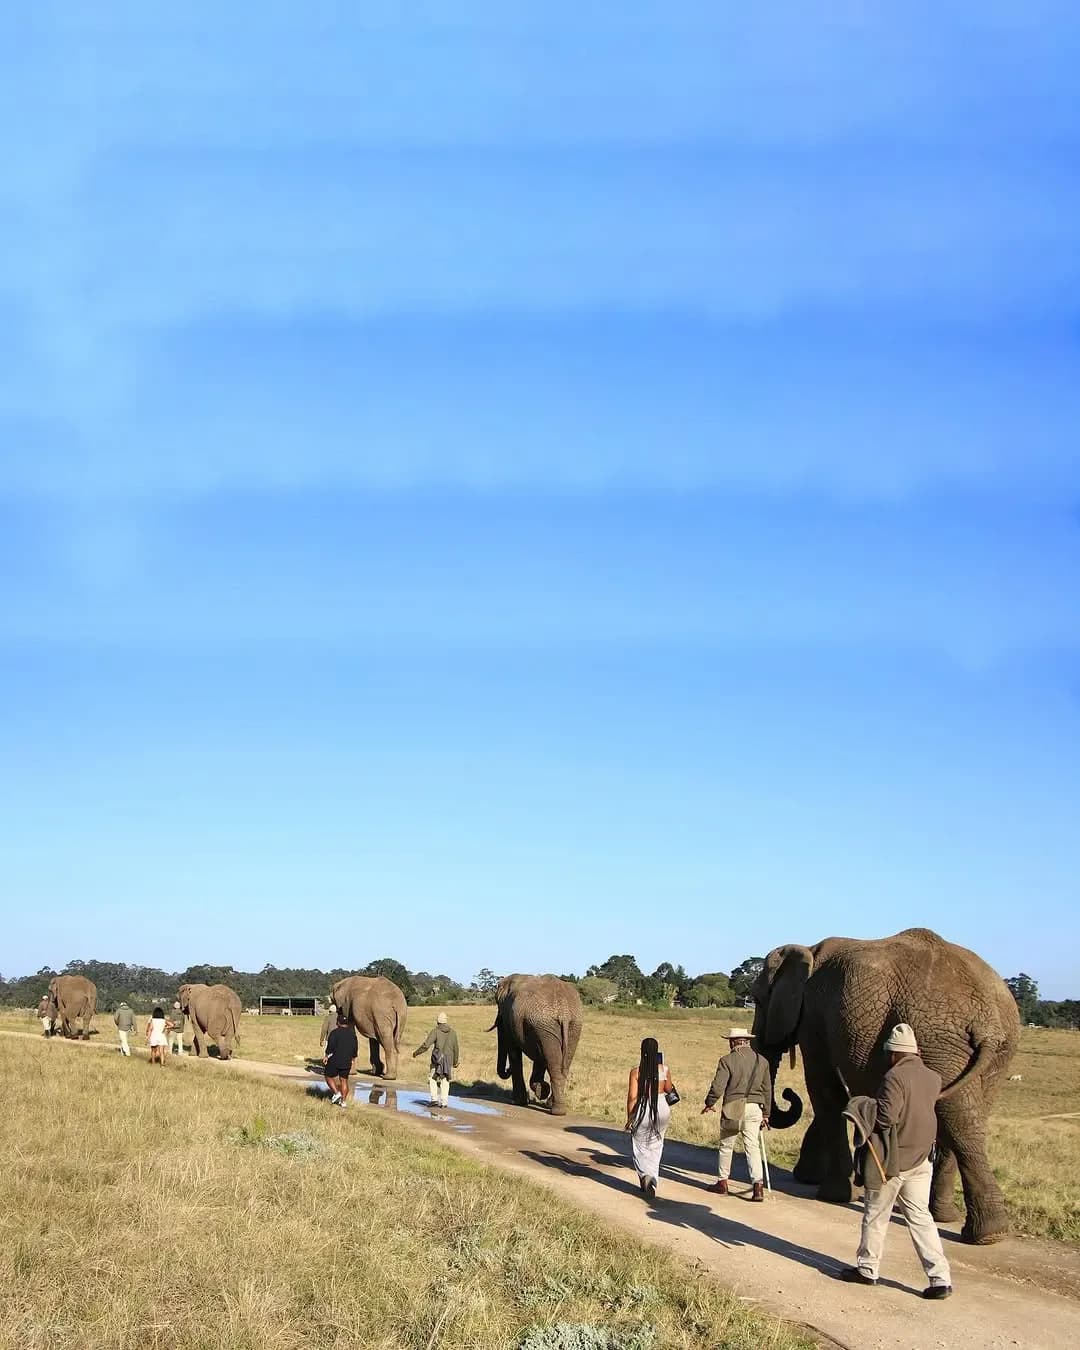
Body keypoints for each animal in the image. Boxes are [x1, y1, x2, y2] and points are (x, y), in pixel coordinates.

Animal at [489, 974, 583, 1116]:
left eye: (498, 1004)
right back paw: (552, 1105)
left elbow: (514, 1052)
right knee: (561, 1064)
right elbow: (540, 1056)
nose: (507, 1069)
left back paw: (556, 1111)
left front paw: (520, 1101)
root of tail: (564, 1013)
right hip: (569, 1026)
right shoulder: (536, 1030)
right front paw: (541, 1089)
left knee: (554, 1064)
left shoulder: (509, 1018)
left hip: (548, 1023)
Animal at [751, 927, 1020, 1245]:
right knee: (964, 1117)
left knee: (957, 1119)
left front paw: (833, 1195)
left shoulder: (815, 1015)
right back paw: (959, 1223)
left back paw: (982, 1233)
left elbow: (825, 1090)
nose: (787, 1094)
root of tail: (988, 1022)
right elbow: (837, 1096)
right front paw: (811, 1179)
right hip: (993, 1052)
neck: (809, 948)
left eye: (757, 1000)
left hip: (938, 1039)